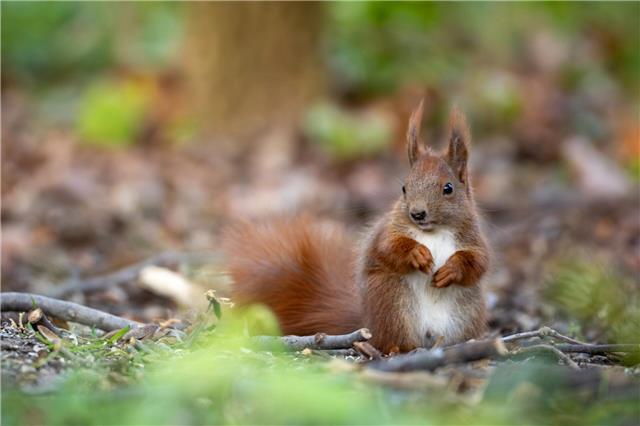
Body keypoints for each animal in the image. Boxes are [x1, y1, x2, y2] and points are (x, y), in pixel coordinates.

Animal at [223, 100, 489, 353]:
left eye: (448, 188)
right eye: (404, 188)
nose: (417, 213)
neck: (432, 231)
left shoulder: (473, 237)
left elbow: (478, 263)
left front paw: (451, 269)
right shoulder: (387, 230)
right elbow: (387, 247)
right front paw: (417, 254)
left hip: (467, 311)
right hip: (392, 301)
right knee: (392, 341)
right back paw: (400, 348)